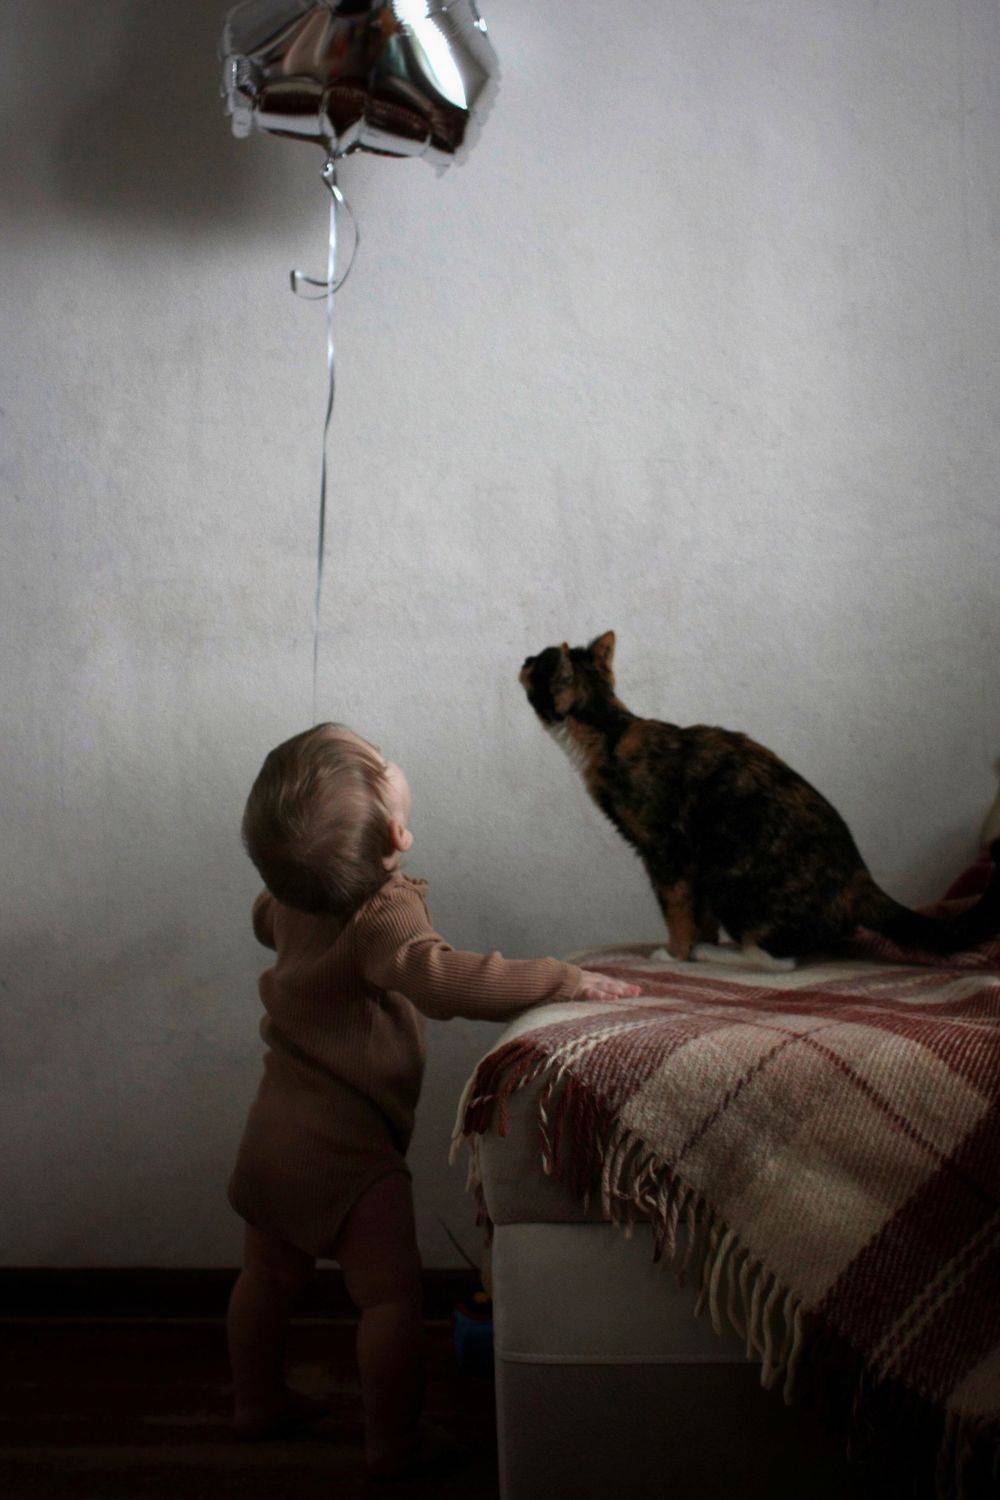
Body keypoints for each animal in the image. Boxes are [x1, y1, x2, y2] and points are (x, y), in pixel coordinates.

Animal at [519, 631, 1000, 965]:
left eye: (538, 660)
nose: (523, 657)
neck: (608, 730)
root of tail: (859, 880)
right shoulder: (689, 865)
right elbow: (697, 915)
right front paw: (696, 944)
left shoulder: (668, 853)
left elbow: (676, 909)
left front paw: (676, 953)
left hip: (730, 876)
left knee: (778, 958)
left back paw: (722, 955)